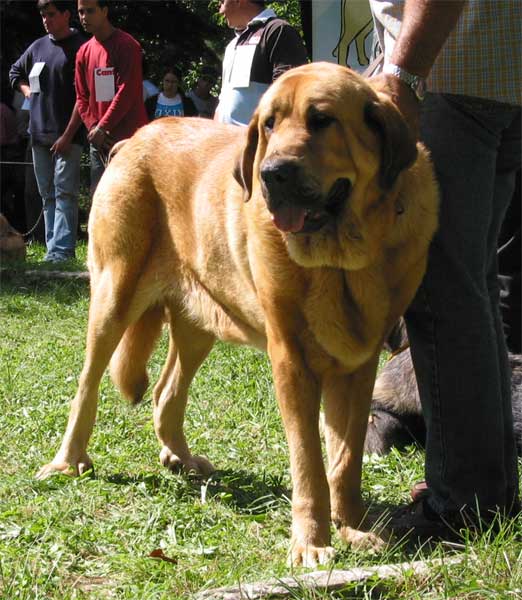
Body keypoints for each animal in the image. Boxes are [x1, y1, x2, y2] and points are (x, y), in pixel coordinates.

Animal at [36, 64, 436, 568]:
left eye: (322, 120)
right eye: (269, 124)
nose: (271, 174)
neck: (339, 262)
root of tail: (133, 138)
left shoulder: (358, 367)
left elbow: (345, 460)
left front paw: (353, 528)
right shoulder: (291, 362)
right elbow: (309, 462)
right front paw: (312, 542)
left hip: (199, 323)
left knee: (166, 393)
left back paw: (181, 459)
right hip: (113, 296)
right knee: (87, 385)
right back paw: (68, 461)